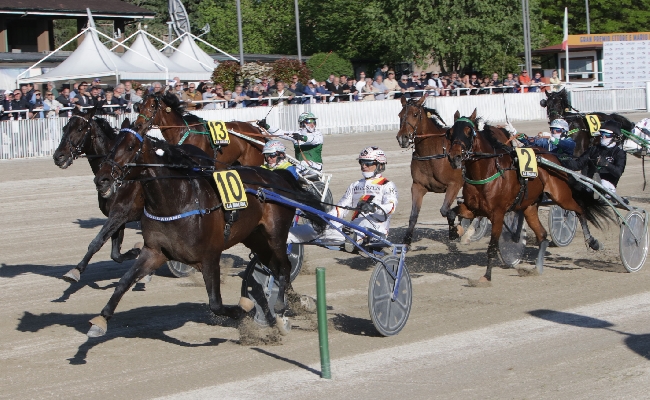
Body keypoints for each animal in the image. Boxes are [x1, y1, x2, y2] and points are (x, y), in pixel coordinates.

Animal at [52, 108, 142, 282]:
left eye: (80, 129)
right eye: (64, 128)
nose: (58, 156)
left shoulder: (120, 213)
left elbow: (97, 241)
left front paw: (76, 270)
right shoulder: (118, 217)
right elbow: (115, 254)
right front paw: (135, 251)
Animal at [88, 129, 324, 338]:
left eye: (130, 147)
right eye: (111, 148)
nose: (102, 179)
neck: (177, 201)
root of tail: (278, 179)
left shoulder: (210, 256)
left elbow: (216, 304)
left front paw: (243, 307)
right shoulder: (154, 251)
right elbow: (124, 282)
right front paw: (101, 320)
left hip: (275, 235)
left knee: (284, 267)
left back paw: (282, 310)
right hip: (255, 238)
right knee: (276, 267)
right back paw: (299, 303)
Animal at [392, 96, 464, 244]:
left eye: (415, 114)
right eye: (400, 115)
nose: (402, 138)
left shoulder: (455, 185)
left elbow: (445, 211)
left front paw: (455, 231)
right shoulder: (418, 186)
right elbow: (413, 216)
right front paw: (406, 240)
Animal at [448, 109, 612, 284]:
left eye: (469, 131)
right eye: (450, 132)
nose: (454, 157)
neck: (487, 173)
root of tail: (552, 158)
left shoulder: (497, 214)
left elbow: (492, 246)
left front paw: (486, 276)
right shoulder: (473, 208)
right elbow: (451, 213)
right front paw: (455, 232)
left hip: (562, 197)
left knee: (580, 210)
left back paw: (593, 242)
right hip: (529, 207)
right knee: (543, 235)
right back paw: (537, 268)